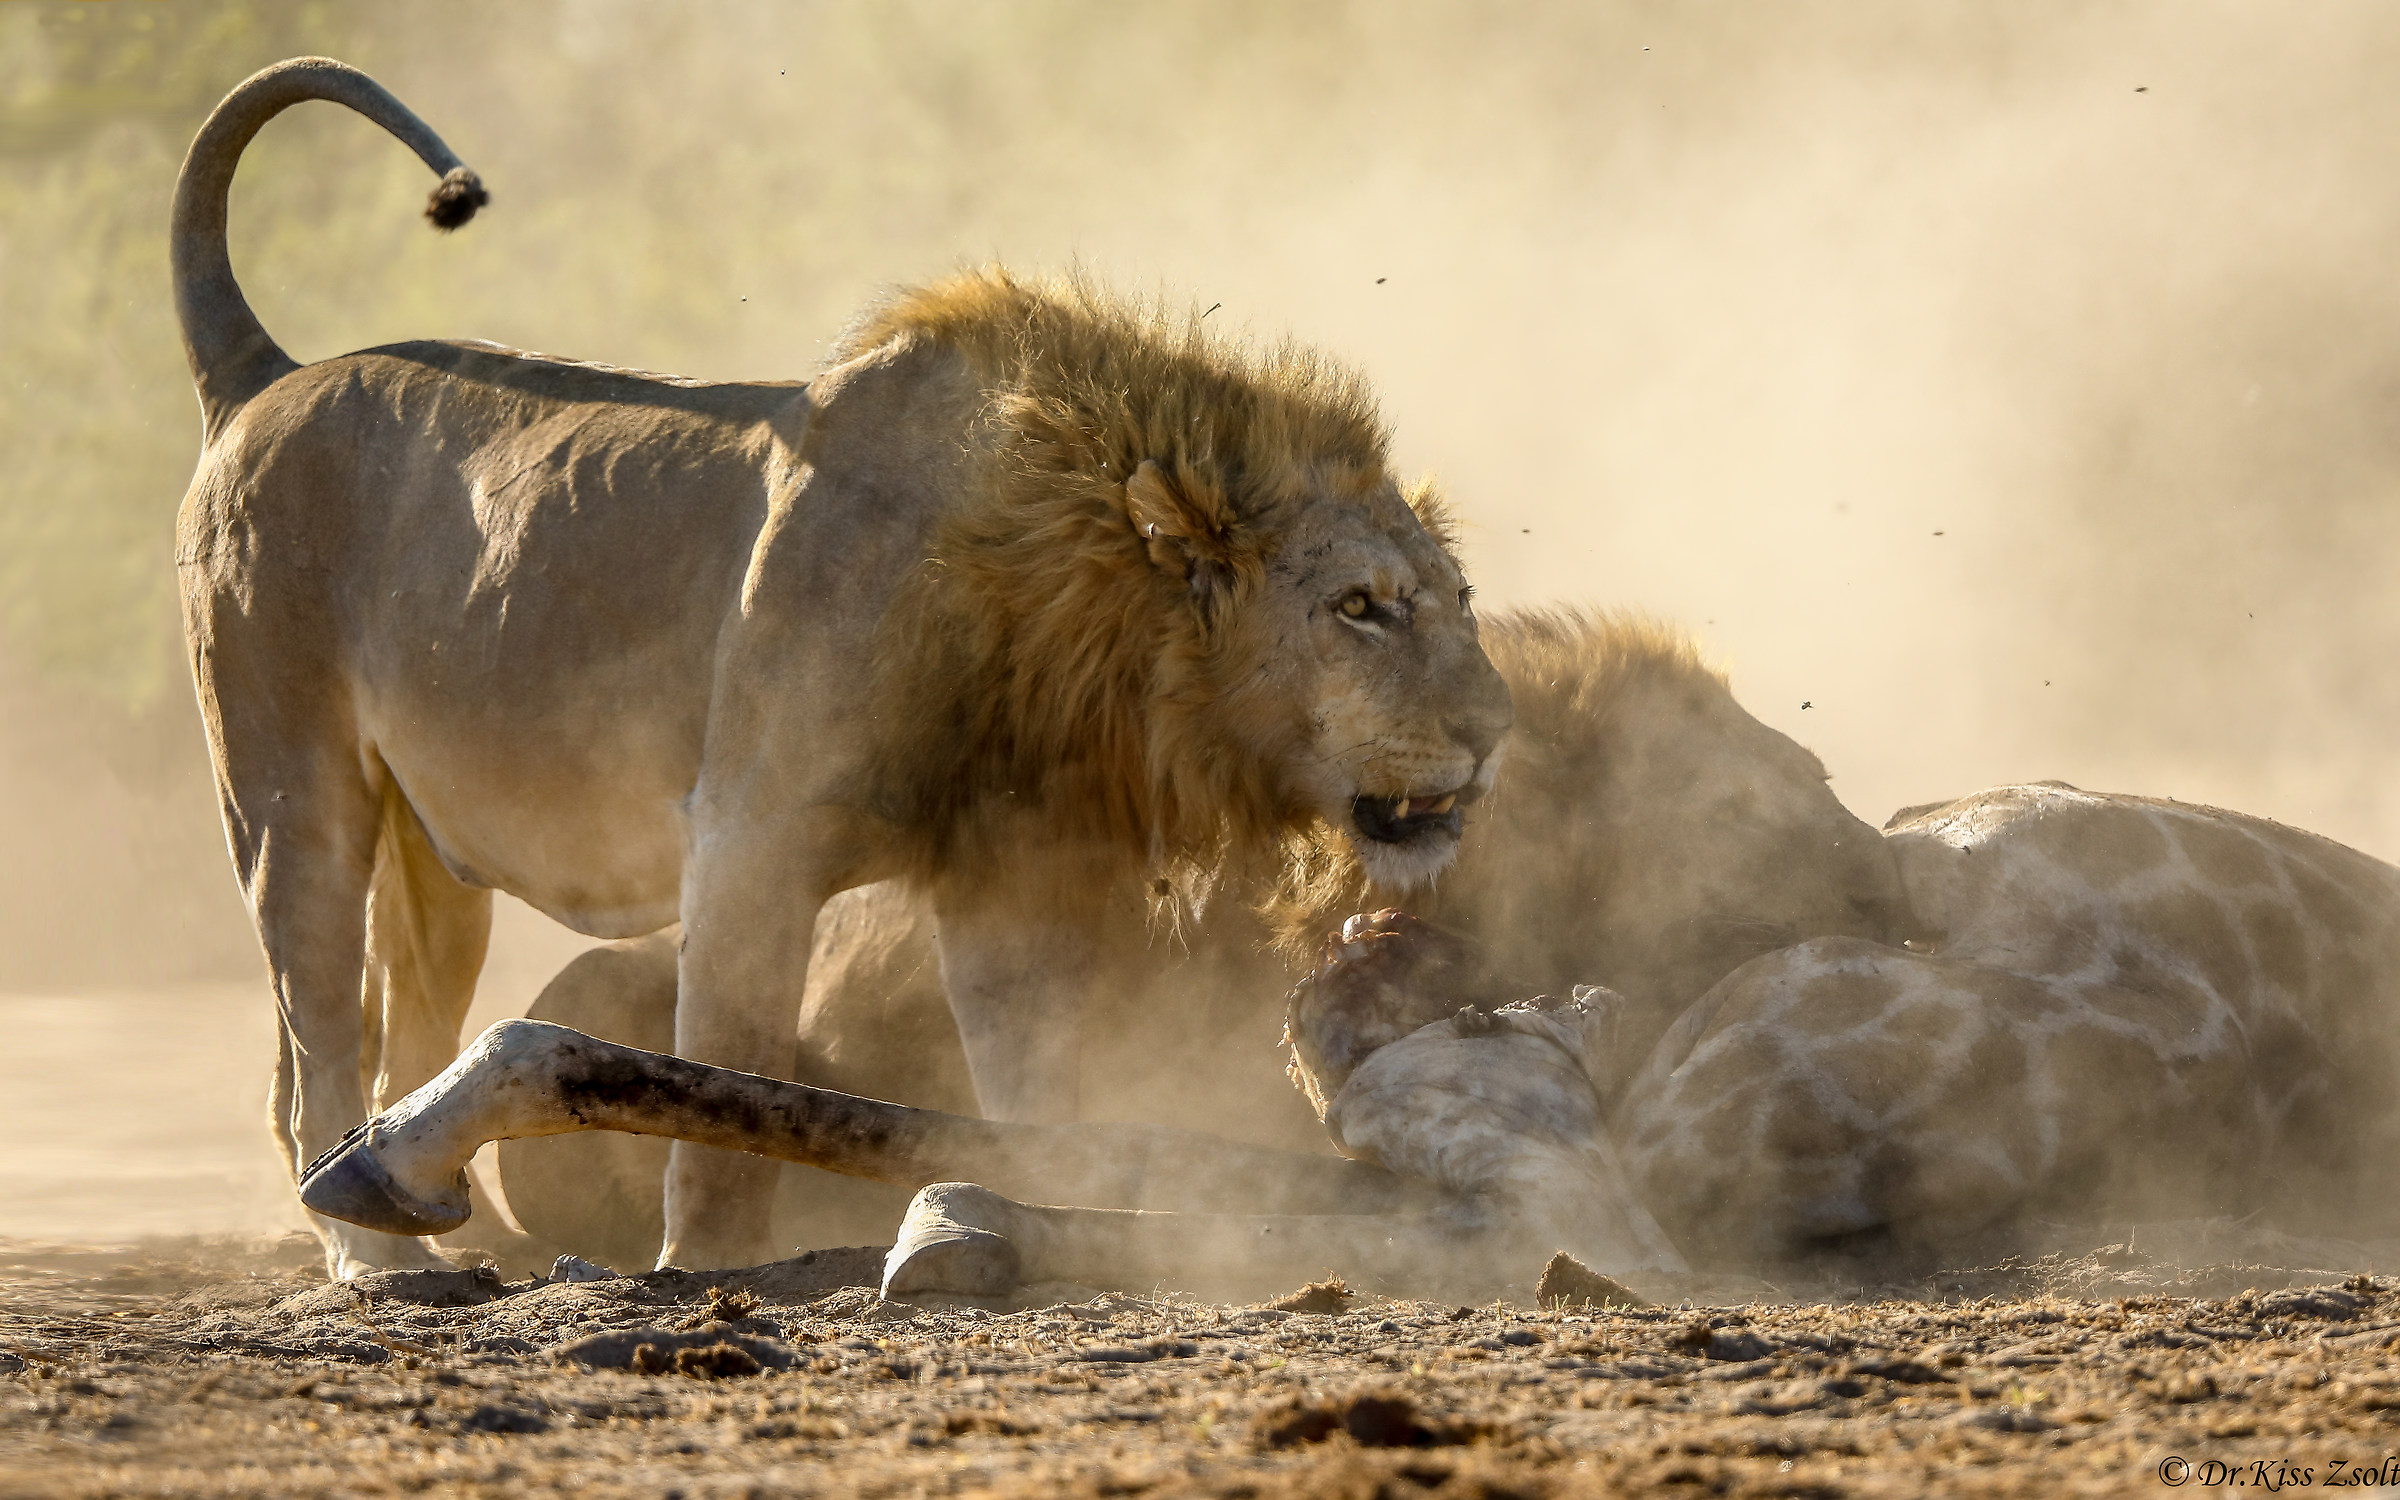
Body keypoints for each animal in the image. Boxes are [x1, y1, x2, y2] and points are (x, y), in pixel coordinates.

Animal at [173, 58, 1510, 1279]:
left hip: (434, 859)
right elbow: (728, 1081)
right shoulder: (747, 842)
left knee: (406, 1017)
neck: (1061, 605)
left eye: (1457, 598)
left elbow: (1039, 1099)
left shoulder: (1013, 883)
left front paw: (1035, 1216)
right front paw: (704, 1268)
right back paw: (378, 1255)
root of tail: (265, 378)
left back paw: (440, 1233)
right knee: (315, 1038)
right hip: (290, 798)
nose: (1496, 731)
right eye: (1360, 608)